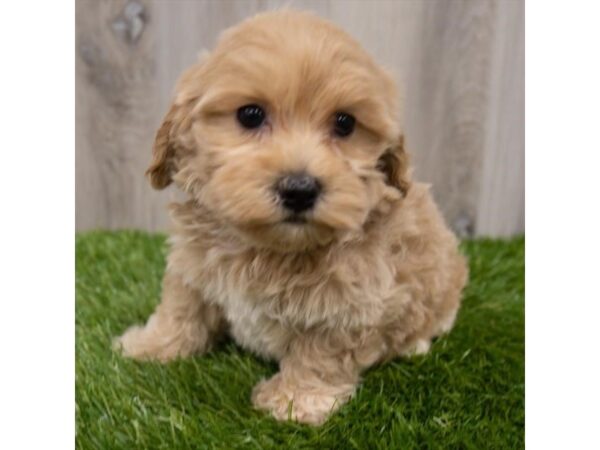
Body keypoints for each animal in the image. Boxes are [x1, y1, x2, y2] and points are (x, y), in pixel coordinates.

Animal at [113, 9, 468, 426]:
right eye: (250, 115)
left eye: (345, 123)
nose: (300, 189)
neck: (268, 249)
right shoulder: (193, 263)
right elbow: (182, 307)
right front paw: (152, 345)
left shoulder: (352, 300)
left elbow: (322, 351)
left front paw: (296, 400)